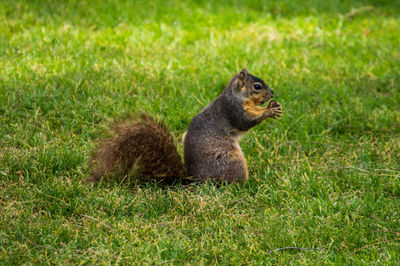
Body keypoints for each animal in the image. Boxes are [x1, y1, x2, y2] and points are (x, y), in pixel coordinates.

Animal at [89, 68, 282, 184]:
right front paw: (269, 111)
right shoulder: (233, 110)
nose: (272, 93)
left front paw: (273, 106)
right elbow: (245, 121)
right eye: (257, 86)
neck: (236, 95)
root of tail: (194, 179)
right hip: (232, 162)